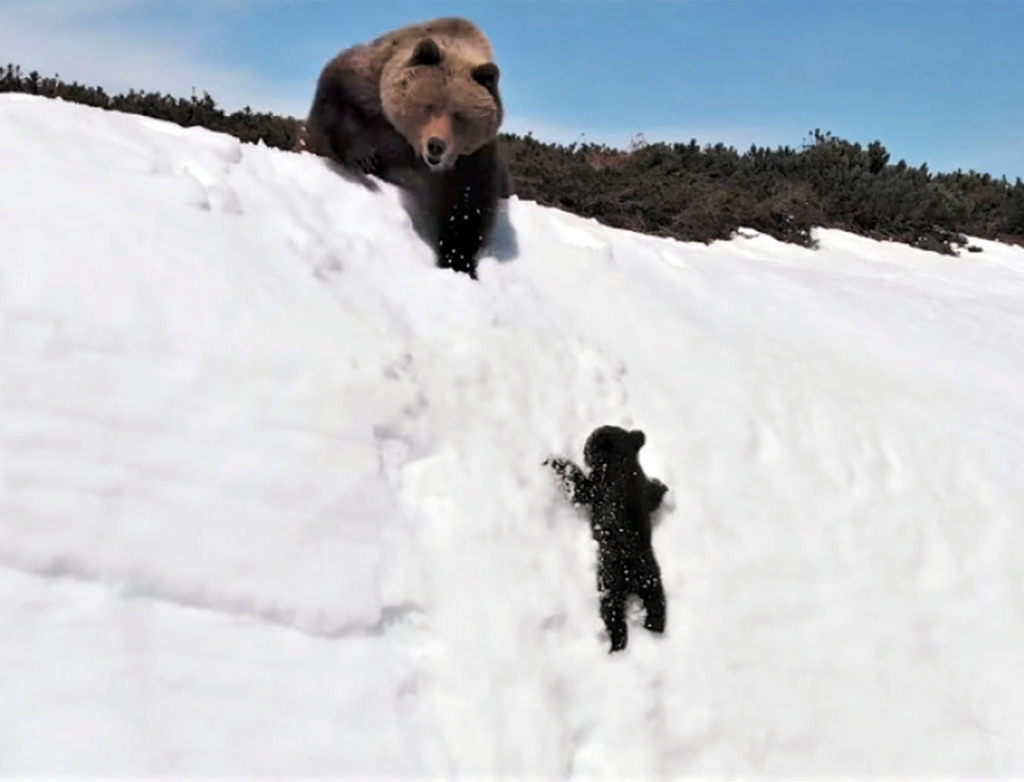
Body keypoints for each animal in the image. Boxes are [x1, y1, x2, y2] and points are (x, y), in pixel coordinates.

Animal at [296, 16, 512, 280]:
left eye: (459, 115)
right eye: (429, 105)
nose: (436, 145)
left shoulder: (469, 160)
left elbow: (467, 207)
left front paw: (458, 261)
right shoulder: (371, 86)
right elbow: (338, 95)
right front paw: (363, 157)